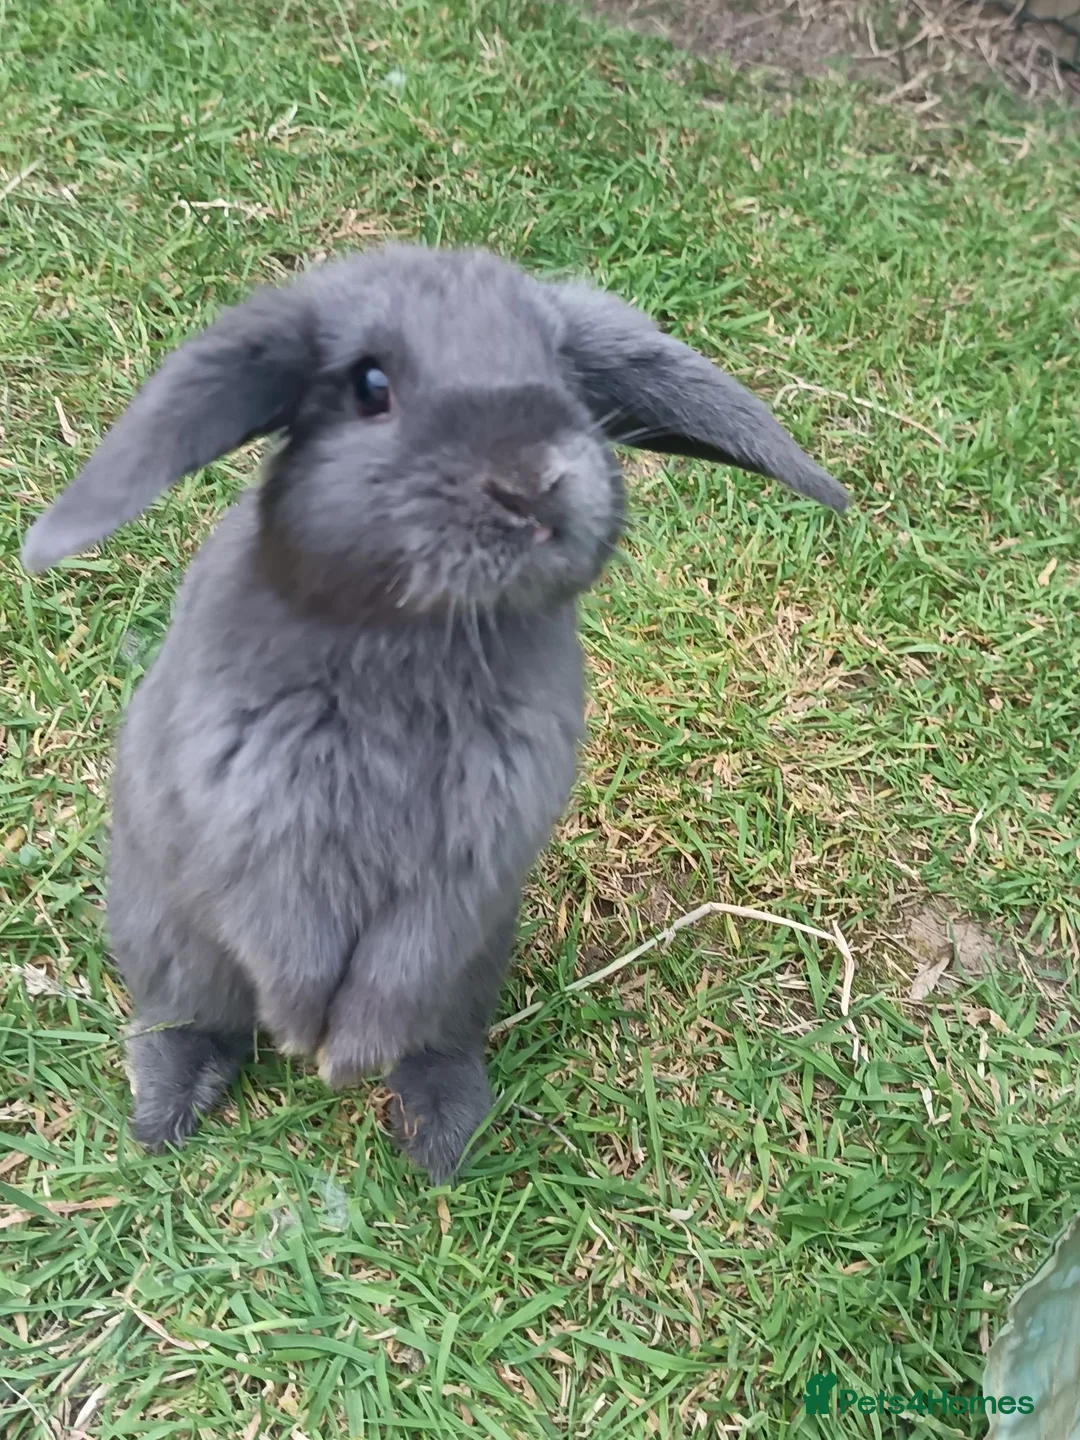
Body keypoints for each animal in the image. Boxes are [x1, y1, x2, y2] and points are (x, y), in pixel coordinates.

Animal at [20, 244, 849, 1182]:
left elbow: (400, 964)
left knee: (437, 1040)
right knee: (189, 1020)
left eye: (563, 371)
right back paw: (167, 1115)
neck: (417, 634)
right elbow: (289, 931)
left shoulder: (472, 857)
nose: (535, 482)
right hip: (171, 937)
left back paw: (440, 1141)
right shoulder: (262, 817)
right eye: (370, 384)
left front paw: (346, 1057)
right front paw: (305, 1038)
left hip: (472, 969)